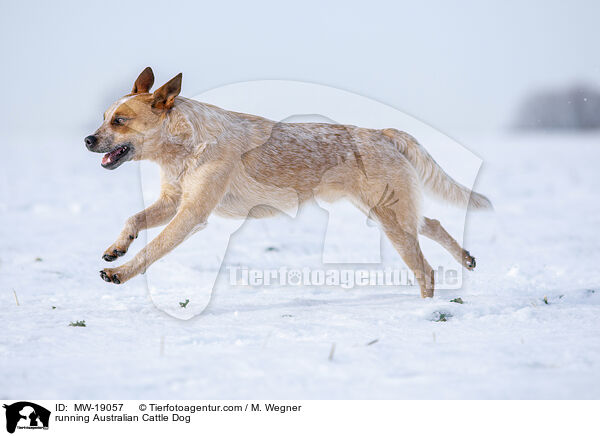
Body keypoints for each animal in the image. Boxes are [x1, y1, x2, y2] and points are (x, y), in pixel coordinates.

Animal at [85, 67, 492, 296]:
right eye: (103, 117)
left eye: (120, 120)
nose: (87, 140)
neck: (182, 146)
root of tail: (382, 133)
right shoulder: (172, 201)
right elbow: (133, 219)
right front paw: (117, 248)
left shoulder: (192, 213)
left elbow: (152, 251)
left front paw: (120, 272)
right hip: (385, 212)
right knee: (433, 222)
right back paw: (466, 258)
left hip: (390, 218)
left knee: (426, 270)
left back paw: (424, 315)